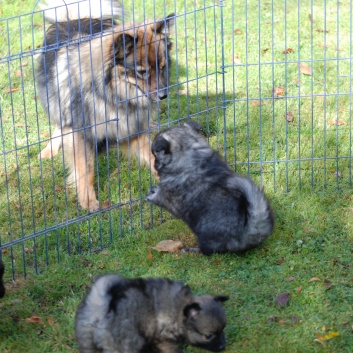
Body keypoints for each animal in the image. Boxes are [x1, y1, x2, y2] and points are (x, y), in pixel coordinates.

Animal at [36, 0, 174, 209]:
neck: (112, 95)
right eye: (142, 72)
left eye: (163, 66)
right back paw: (49, 150)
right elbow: (86, 169)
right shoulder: (82, 134)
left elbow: (152, 156)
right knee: (59, 125)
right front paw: (88, 201)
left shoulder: (130, 128)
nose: (163, 95)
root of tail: (74, 17)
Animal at [75, 274, 228, 350]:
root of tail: (100, 312)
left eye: (223, 330)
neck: (179, 310)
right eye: (208, 336)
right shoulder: (165, 339)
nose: (223, 347)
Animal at [146, 120, 276, 253]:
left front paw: (150, 196)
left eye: (155, 155)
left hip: (206, 237)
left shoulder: (170, 199)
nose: (154, 164)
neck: (192, 157)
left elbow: (160, 198)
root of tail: (251, 232)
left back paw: (192, 250)